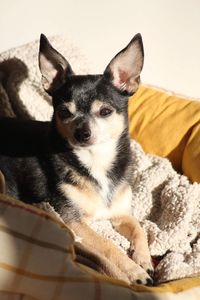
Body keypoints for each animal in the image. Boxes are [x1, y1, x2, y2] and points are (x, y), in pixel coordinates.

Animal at [0, 34, 154, 284]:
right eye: (64, 112)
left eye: (105, 111)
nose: (82, 133)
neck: (96, 161)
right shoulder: (73, 220)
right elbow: (108, 245)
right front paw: (134, 271)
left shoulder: (121, 214)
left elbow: (139, 228)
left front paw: (143, 260)